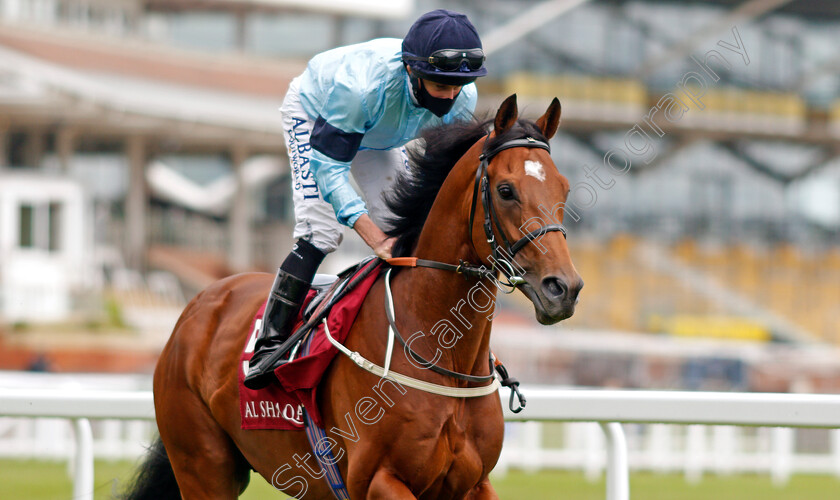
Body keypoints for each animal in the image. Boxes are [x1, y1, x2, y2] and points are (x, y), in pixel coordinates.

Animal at [124, 94, 580, 500]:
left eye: (565, 188)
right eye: (505, 190)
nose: (564, 288)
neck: (444, 357)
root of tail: (199, 305)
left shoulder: (473, 485)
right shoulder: (377, 479)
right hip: (202, 467)